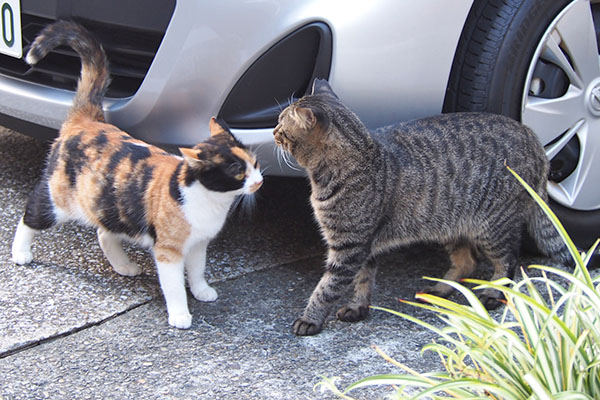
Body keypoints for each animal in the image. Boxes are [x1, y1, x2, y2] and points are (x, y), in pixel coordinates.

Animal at [11, 20, 264, 330]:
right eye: (238, 172)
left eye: (255, 163)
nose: (259, 181)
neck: (208, 201)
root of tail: (87, 119)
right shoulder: (168, 251)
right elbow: (174, 286)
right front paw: (180, 314)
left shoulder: (198, 244)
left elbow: (197, 270)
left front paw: (202, 290)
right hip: (59, 199)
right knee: (31, 215)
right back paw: (20, 252)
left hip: (110, 204)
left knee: (104, 233)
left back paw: (123, 265)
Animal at [276, 78, 572, 334]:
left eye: (281, 124)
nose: (274, 131)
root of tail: (532, 136)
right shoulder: (363, 245)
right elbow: (364, 280)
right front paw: (358, 308)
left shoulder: (350, 247)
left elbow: (327, 287)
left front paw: (310, 319)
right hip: (450, 225)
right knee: (468, 262)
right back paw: (440, 291)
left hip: (492, 226)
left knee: (508, 262)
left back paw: (492, 293)